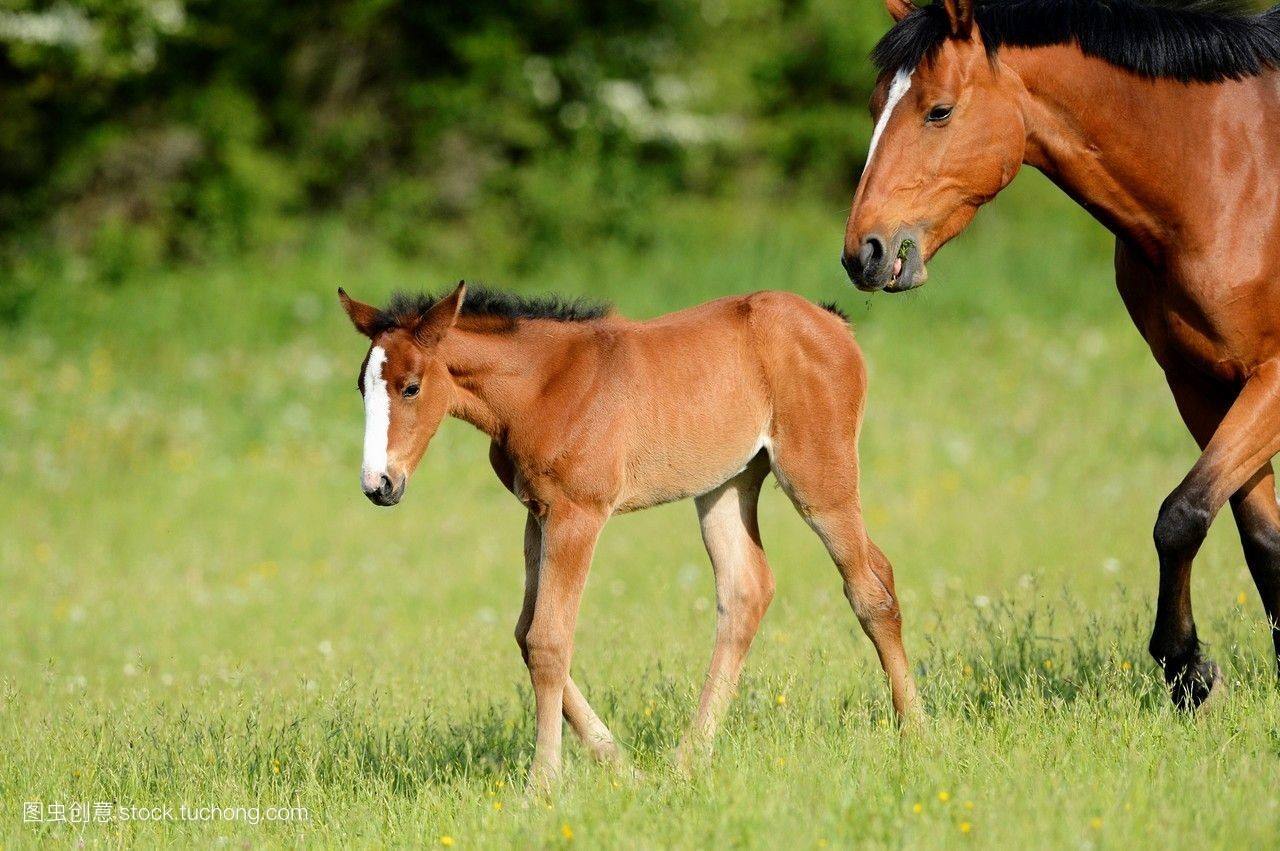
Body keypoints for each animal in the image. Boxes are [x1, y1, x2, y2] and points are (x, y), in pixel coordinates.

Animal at [337, 284, 921, 783]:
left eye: (411, 387)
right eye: (361, 387)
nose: (378, 484)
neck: (542, 386)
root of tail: (832, 321)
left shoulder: (578, 514)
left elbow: (549, 640)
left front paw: (542, 784)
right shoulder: (538, 513)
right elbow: (526, 634)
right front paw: (623, 767)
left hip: (816, 476)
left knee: (867, 590)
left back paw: (914, 731)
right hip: (727, 484)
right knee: (753, 589)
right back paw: (688, 758)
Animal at [844, 0, 1280, 706]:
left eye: (939, 110)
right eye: (878, 101)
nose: (865, 251)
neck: (1231, 177)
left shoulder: (1270, 379)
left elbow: (1181, 514)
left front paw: (1185, 666)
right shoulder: (1203, 386)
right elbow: (1258, 536)